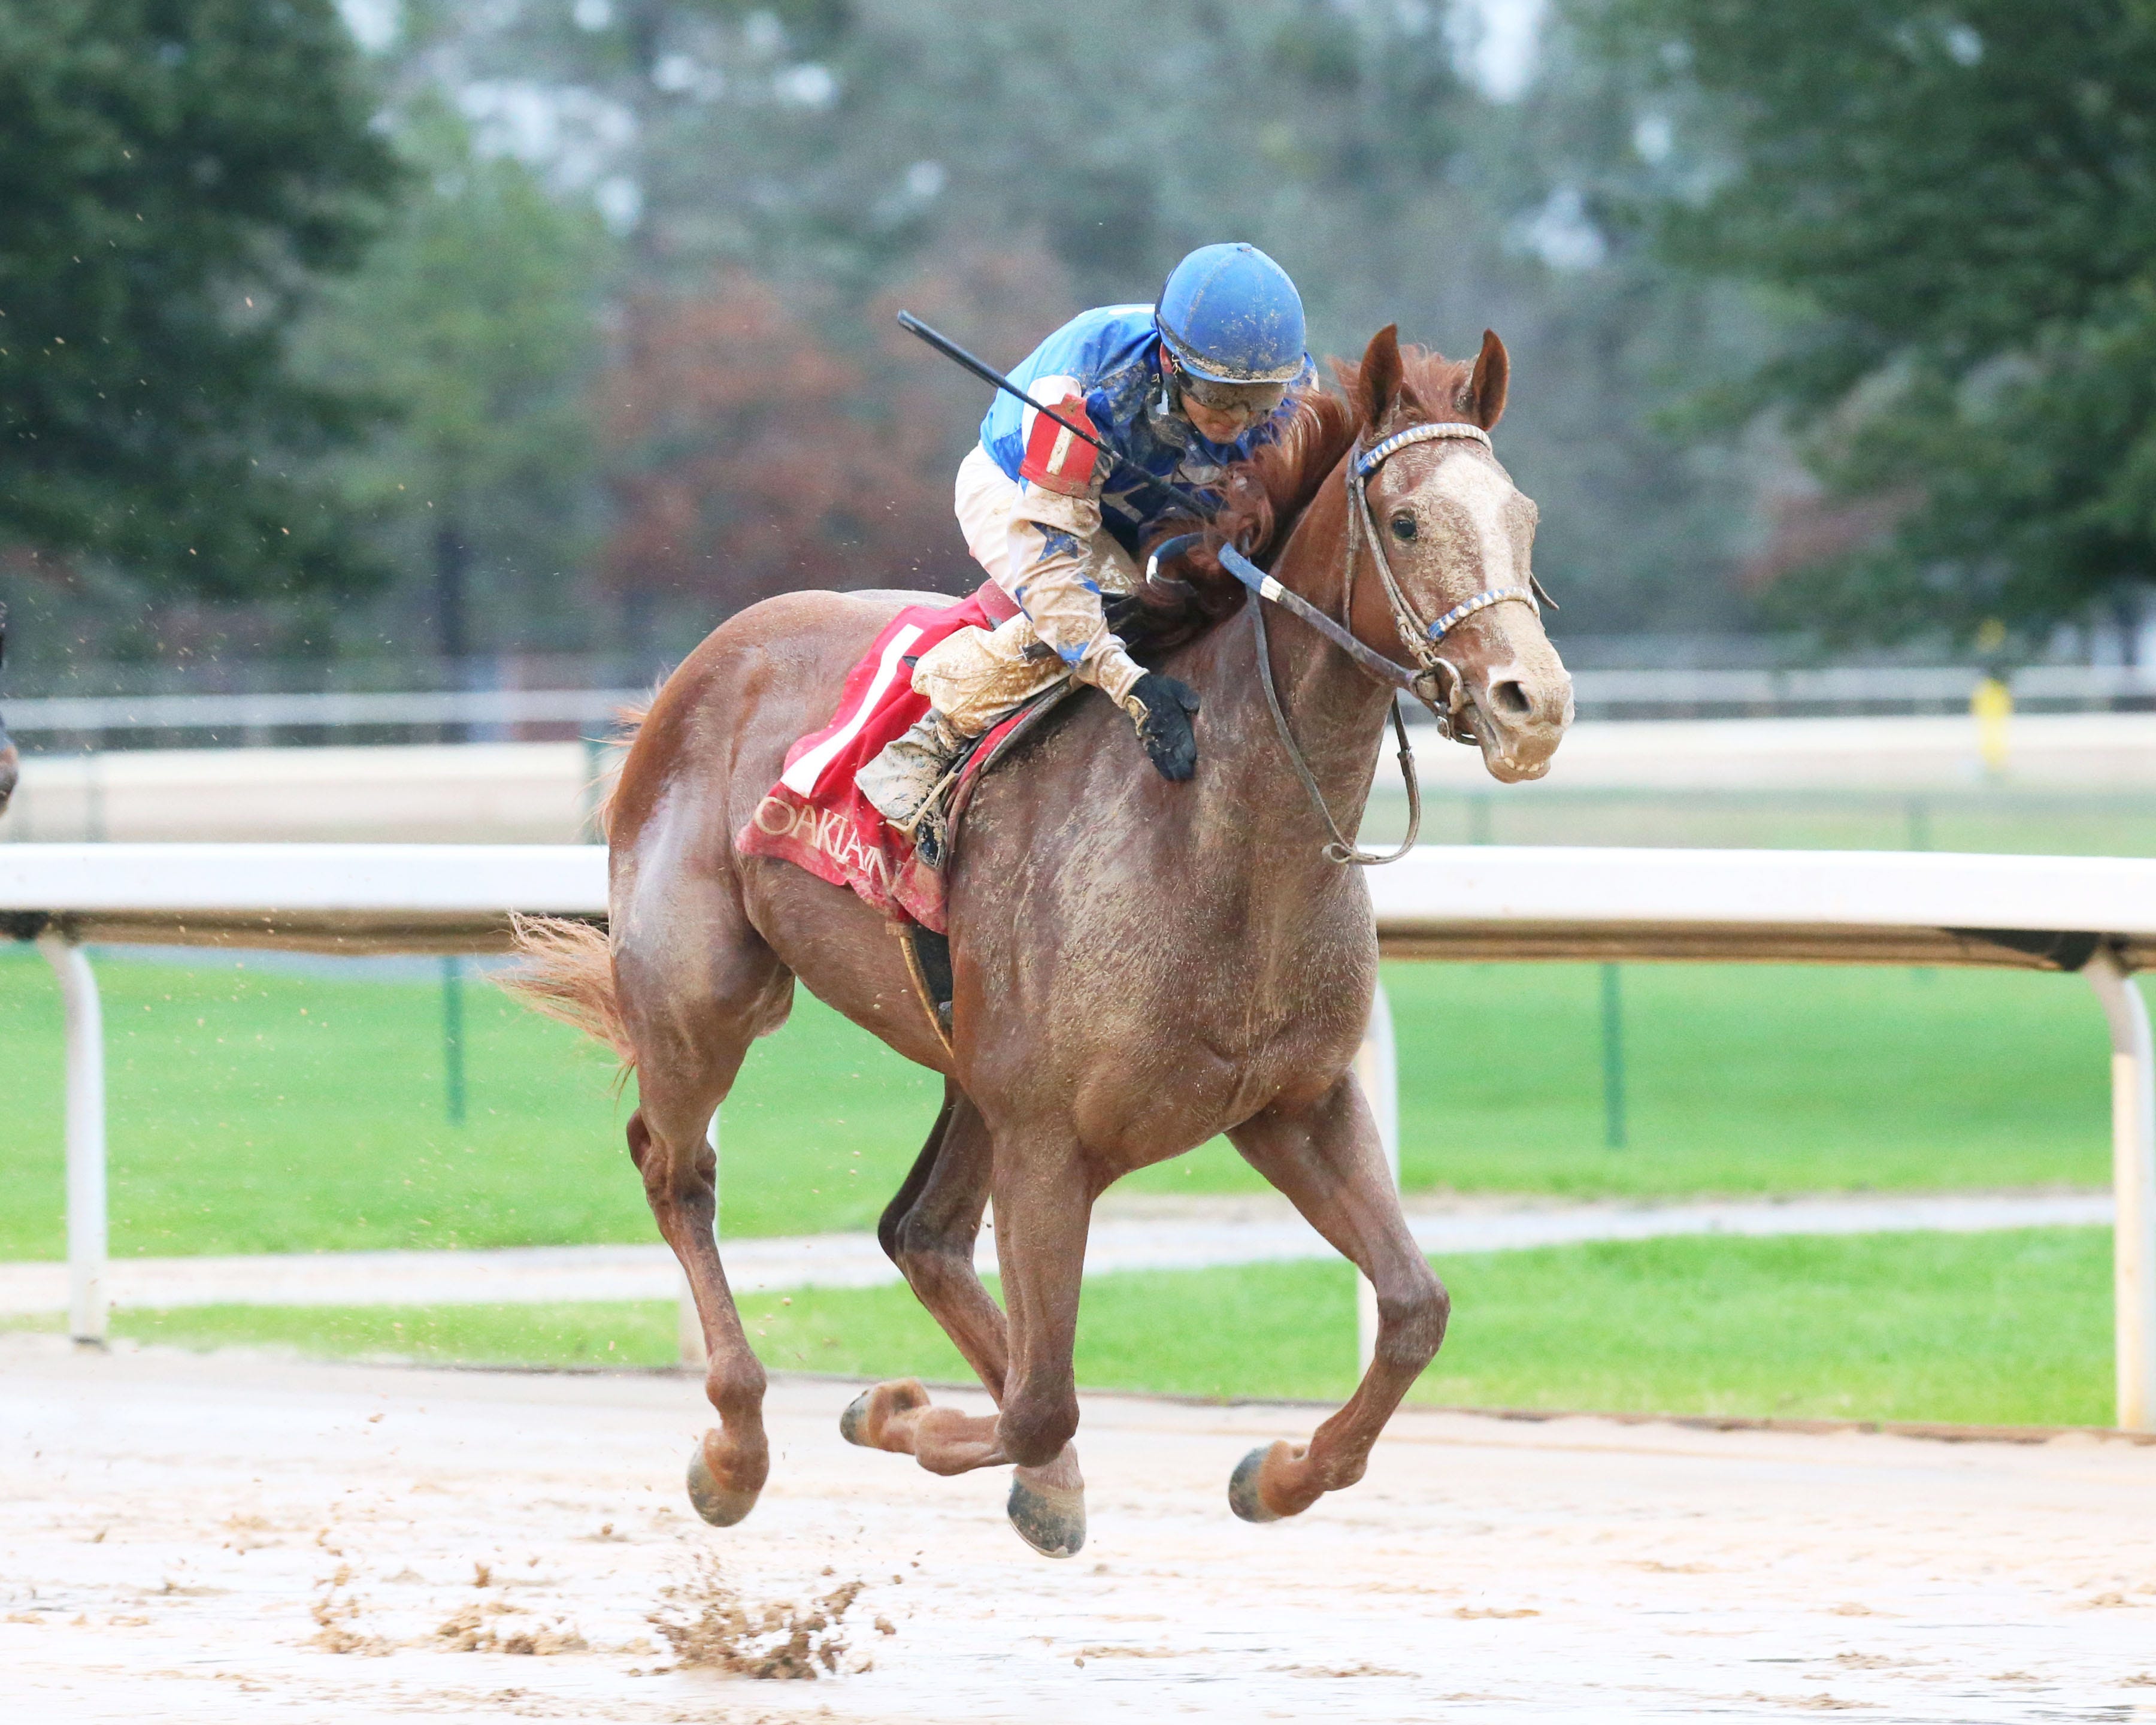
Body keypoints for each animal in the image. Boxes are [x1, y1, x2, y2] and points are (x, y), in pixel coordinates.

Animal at [513, 329, 1578, 1552]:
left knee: (919, 1233)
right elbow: (1038, 1399)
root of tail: (700, 665)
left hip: (969, 1064)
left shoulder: (1292, 1104)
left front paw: (1279, 1473)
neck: (1223, 844)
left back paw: (1044, 1478)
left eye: (1525, 515)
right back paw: (737, 1445)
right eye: (1404, 522)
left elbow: (1412, 1310)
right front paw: (897, 1412)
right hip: (706, 994)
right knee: (678, 1171)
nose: (1534, 704)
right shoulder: (1051, 1141)